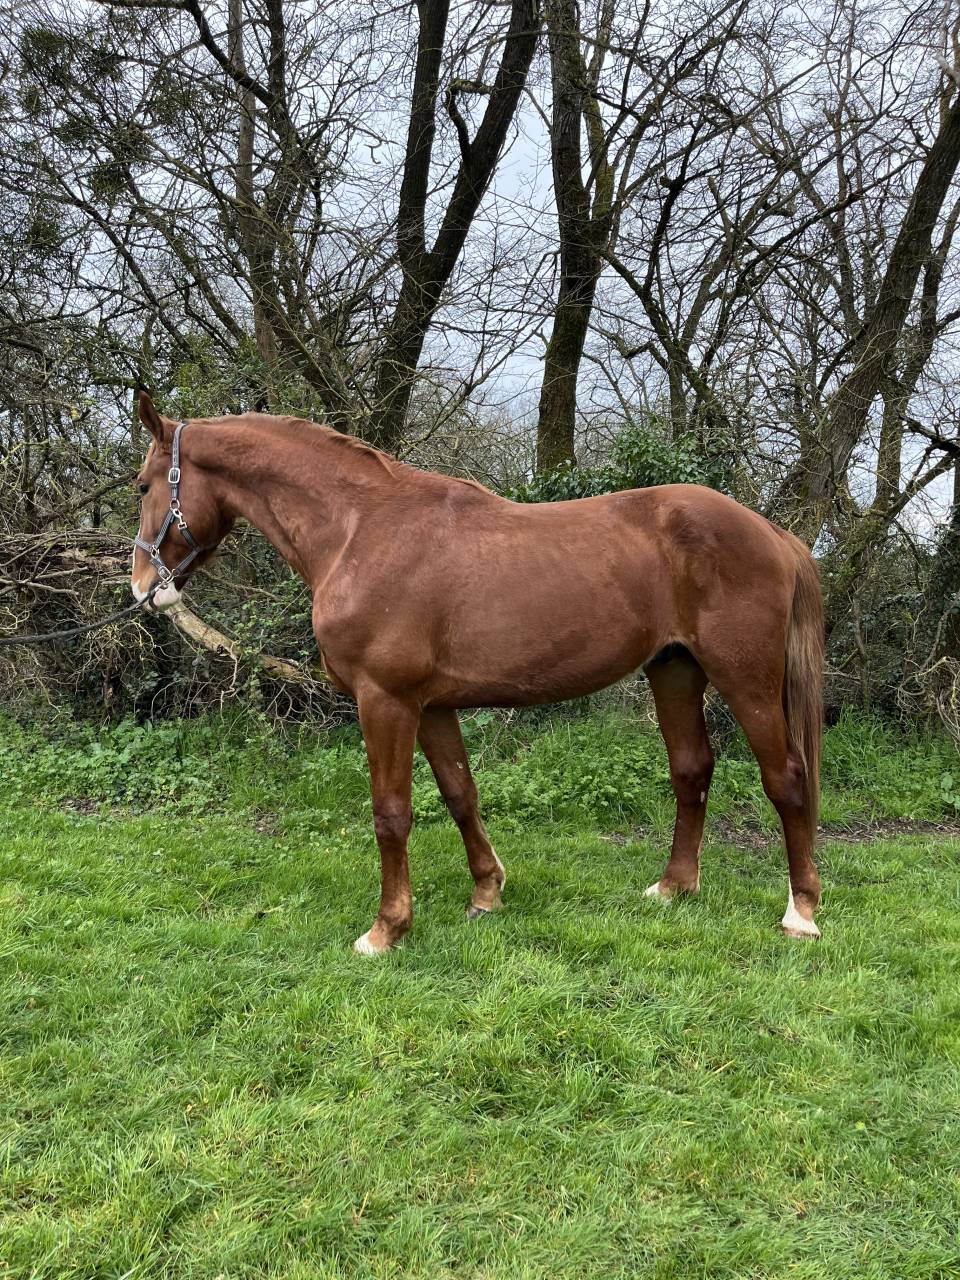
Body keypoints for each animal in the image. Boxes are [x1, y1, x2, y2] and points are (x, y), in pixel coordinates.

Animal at [131, 392, 824, 954]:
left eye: (142, 486)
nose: (141, 588)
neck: (360, 530)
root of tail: (773, 535)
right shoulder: (432, 706)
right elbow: (460, 794)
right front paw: (487, 892)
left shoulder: (385, 700)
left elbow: (391, 812)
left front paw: (387, 929)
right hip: (674, 671)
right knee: (691, 770)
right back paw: (674, 887)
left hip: (745, 680)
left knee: (786, 778)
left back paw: (800, 913)